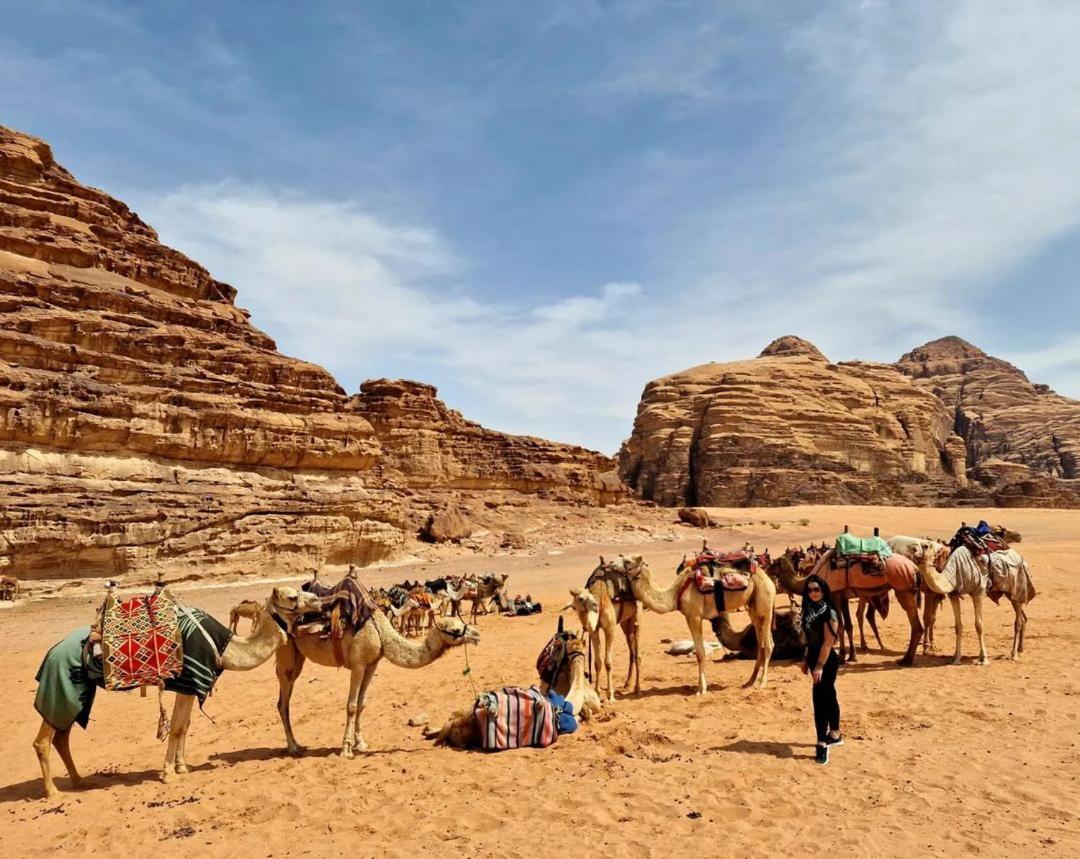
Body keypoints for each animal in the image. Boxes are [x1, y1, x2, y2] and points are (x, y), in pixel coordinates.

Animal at [32, 583, 319, 799]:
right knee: (43, 740)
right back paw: (53, 792)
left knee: (62, 737)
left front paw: (181, 767)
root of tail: (51, 652)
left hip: (79, 692)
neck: (224, 648)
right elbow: (177, 727)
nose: (317, 600)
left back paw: (80, 782)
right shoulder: (189, 679)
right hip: (62, 685)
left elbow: (185, 725)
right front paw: (168, 774)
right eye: (292, 596)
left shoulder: (191, 687)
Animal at [276, 609, 479, 760]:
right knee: (283, 701)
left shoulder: (372, 664)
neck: (381, 634)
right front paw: (346, 750)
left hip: (298, 656)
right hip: (285, 650)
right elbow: (351, 706)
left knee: (285, 696)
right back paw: (293, 747)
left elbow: (362, 704)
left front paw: (361, 744)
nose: (477, 635)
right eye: (455, 630)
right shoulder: (358, 664)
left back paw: (296, 744)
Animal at [565, 557, 639, 704]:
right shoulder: (595, 631)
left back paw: (637, 688)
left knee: (637, 651)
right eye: (574, 607)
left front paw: (610, 696)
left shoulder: (609, 628)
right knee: (631, 650)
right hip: (625, 623)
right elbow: (597, 662)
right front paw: (598, 693)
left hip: (635, 617)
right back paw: (627, 684)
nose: (585, 625)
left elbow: (608, 663)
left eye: (581, 599)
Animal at [617, 553, 777, 695]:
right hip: (753, 606)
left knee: (769, 644)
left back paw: (762, 683)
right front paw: (700, 687)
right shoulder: (688, 617)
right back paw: (749, 681)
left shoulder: (695, 616)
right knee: (761, 644)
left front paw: (701, 690)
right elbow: (699, 652)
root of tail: (768, 578)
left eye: (627, 561)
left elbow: (700, 653)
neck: (676, 593)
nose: (611, 564)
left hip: (765, 601)